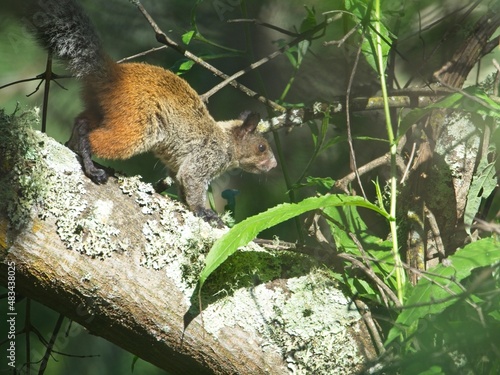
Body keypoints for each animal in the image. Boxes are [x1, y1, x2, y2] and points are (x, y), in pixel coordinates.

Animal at [13, 0, 278, 223]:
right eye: (261, 147)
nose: (274, 165)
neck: (226, 140)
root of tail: (113, 76)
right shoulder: (204, 158)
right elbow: (192, 184)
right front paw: (205, 212)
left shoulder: (178, 166)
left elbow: (182, 185)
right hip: (138, 127)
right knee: (93, 138)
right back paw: (91, 166)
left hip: (102, 110)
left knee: (82, 122)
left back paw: (72, 143)